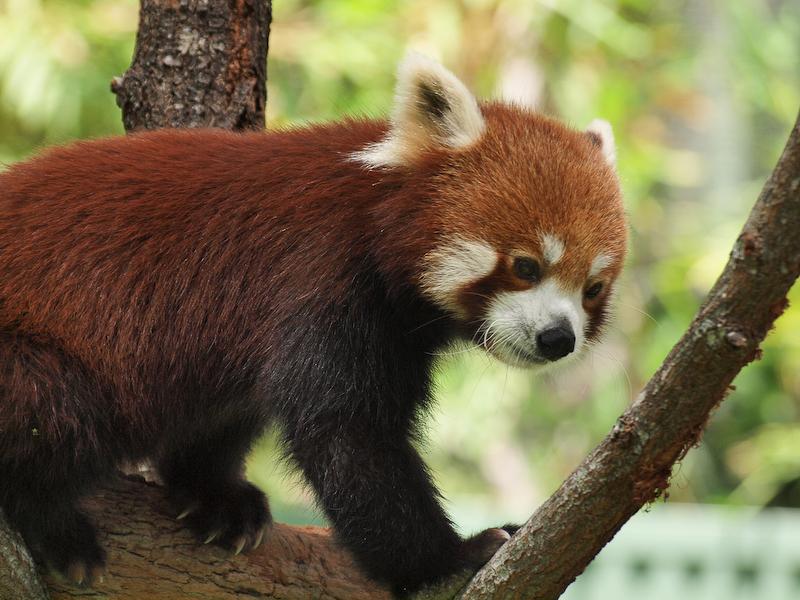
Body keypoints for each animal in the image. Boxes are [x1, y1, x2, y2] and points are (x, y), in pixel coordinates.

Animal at [0, 52, 624, 596]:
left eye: (592, 289)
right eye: (526, 266)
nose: (558, 338)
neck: (374, 220)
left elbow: (227, 413)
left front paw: (213, 493)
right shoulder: (319, 279)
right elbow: (346, 434)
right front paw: (449, 559)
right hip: (28, 353)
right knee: (52, 411)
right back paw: (53, 524)